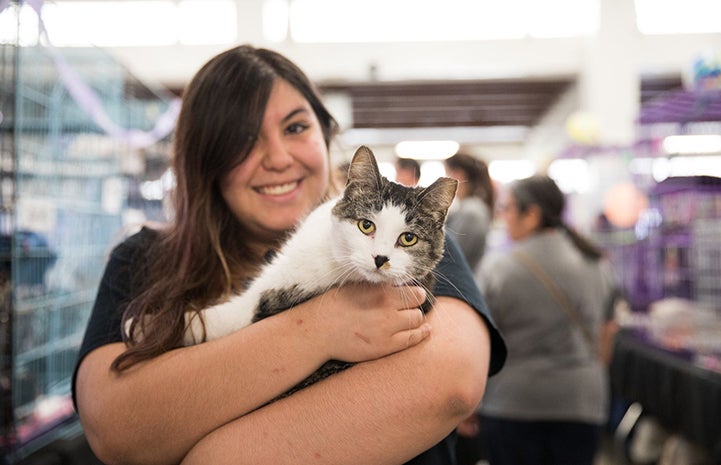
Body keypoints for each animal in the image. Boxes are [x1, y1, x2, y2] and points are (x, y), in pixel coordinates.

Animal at [131, 145, 456, 396]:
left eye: (408, 238)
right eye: (366, 225)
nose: (380, 259)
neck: (332, 259)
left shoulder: (262, 297)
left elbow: (229, 314)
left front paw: (147, 325)